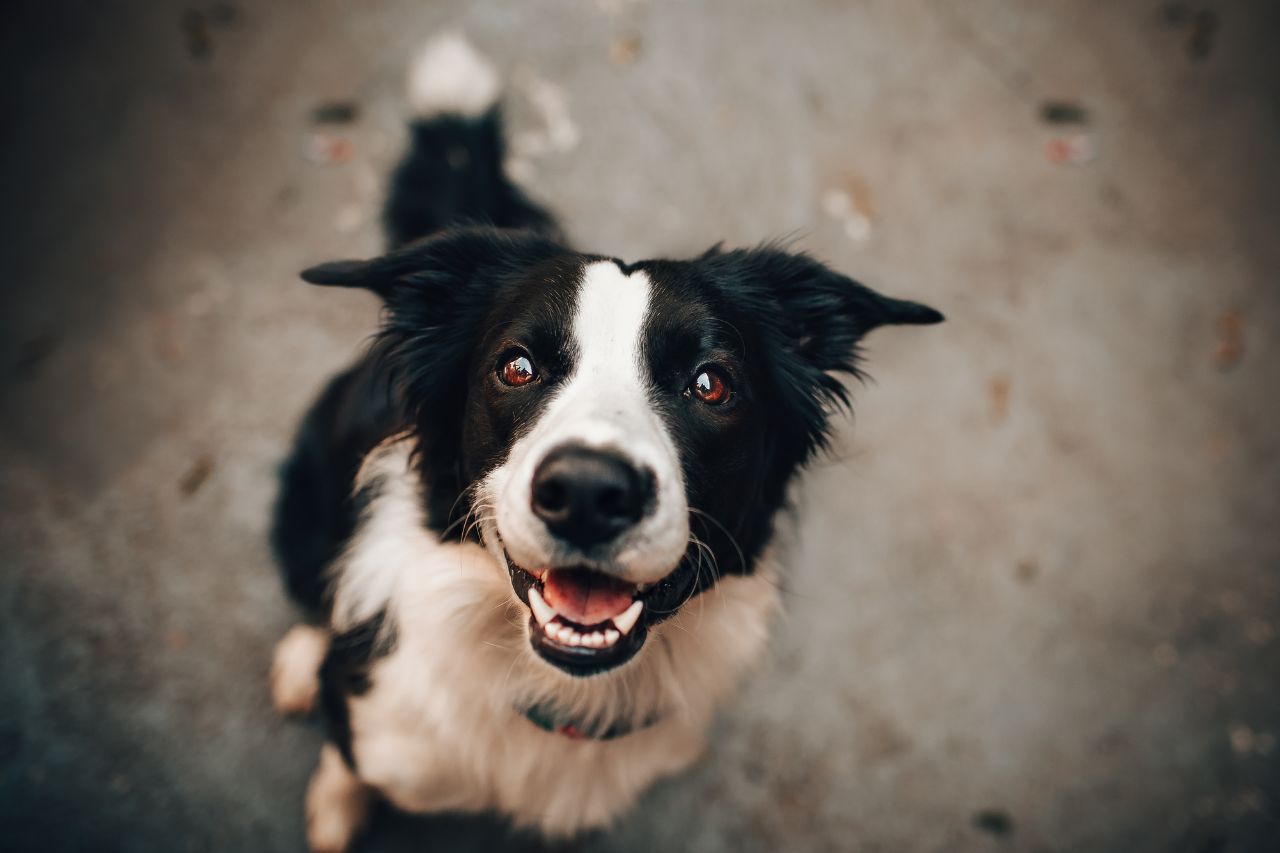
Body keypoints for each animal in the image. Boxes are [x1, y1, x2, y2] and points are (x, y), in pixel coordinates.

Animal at [270, 34, 947, 850]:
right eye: (517, 366)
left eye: (711, 383)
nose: (590, 493)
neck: (558, 692)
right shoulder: (378, 727)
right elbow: (347, 757)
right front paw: (336, 805)